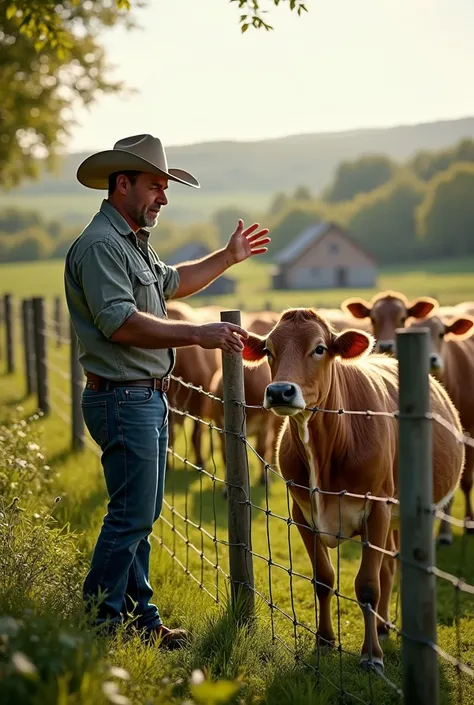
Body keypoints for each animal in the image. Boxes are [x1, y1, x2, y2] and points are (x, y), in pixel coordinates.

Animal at [243, 308, 464, 672]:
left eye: (319, 348)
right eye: (269, 351)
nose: (279, 391)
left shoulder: (376, 507)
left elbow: (367, 586)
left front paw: (371, 655)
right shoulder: (301, 512)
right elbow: (323, 578)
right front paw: (324, 641)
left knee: (389, 568)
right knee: (388, 566)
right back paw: (383, 626)